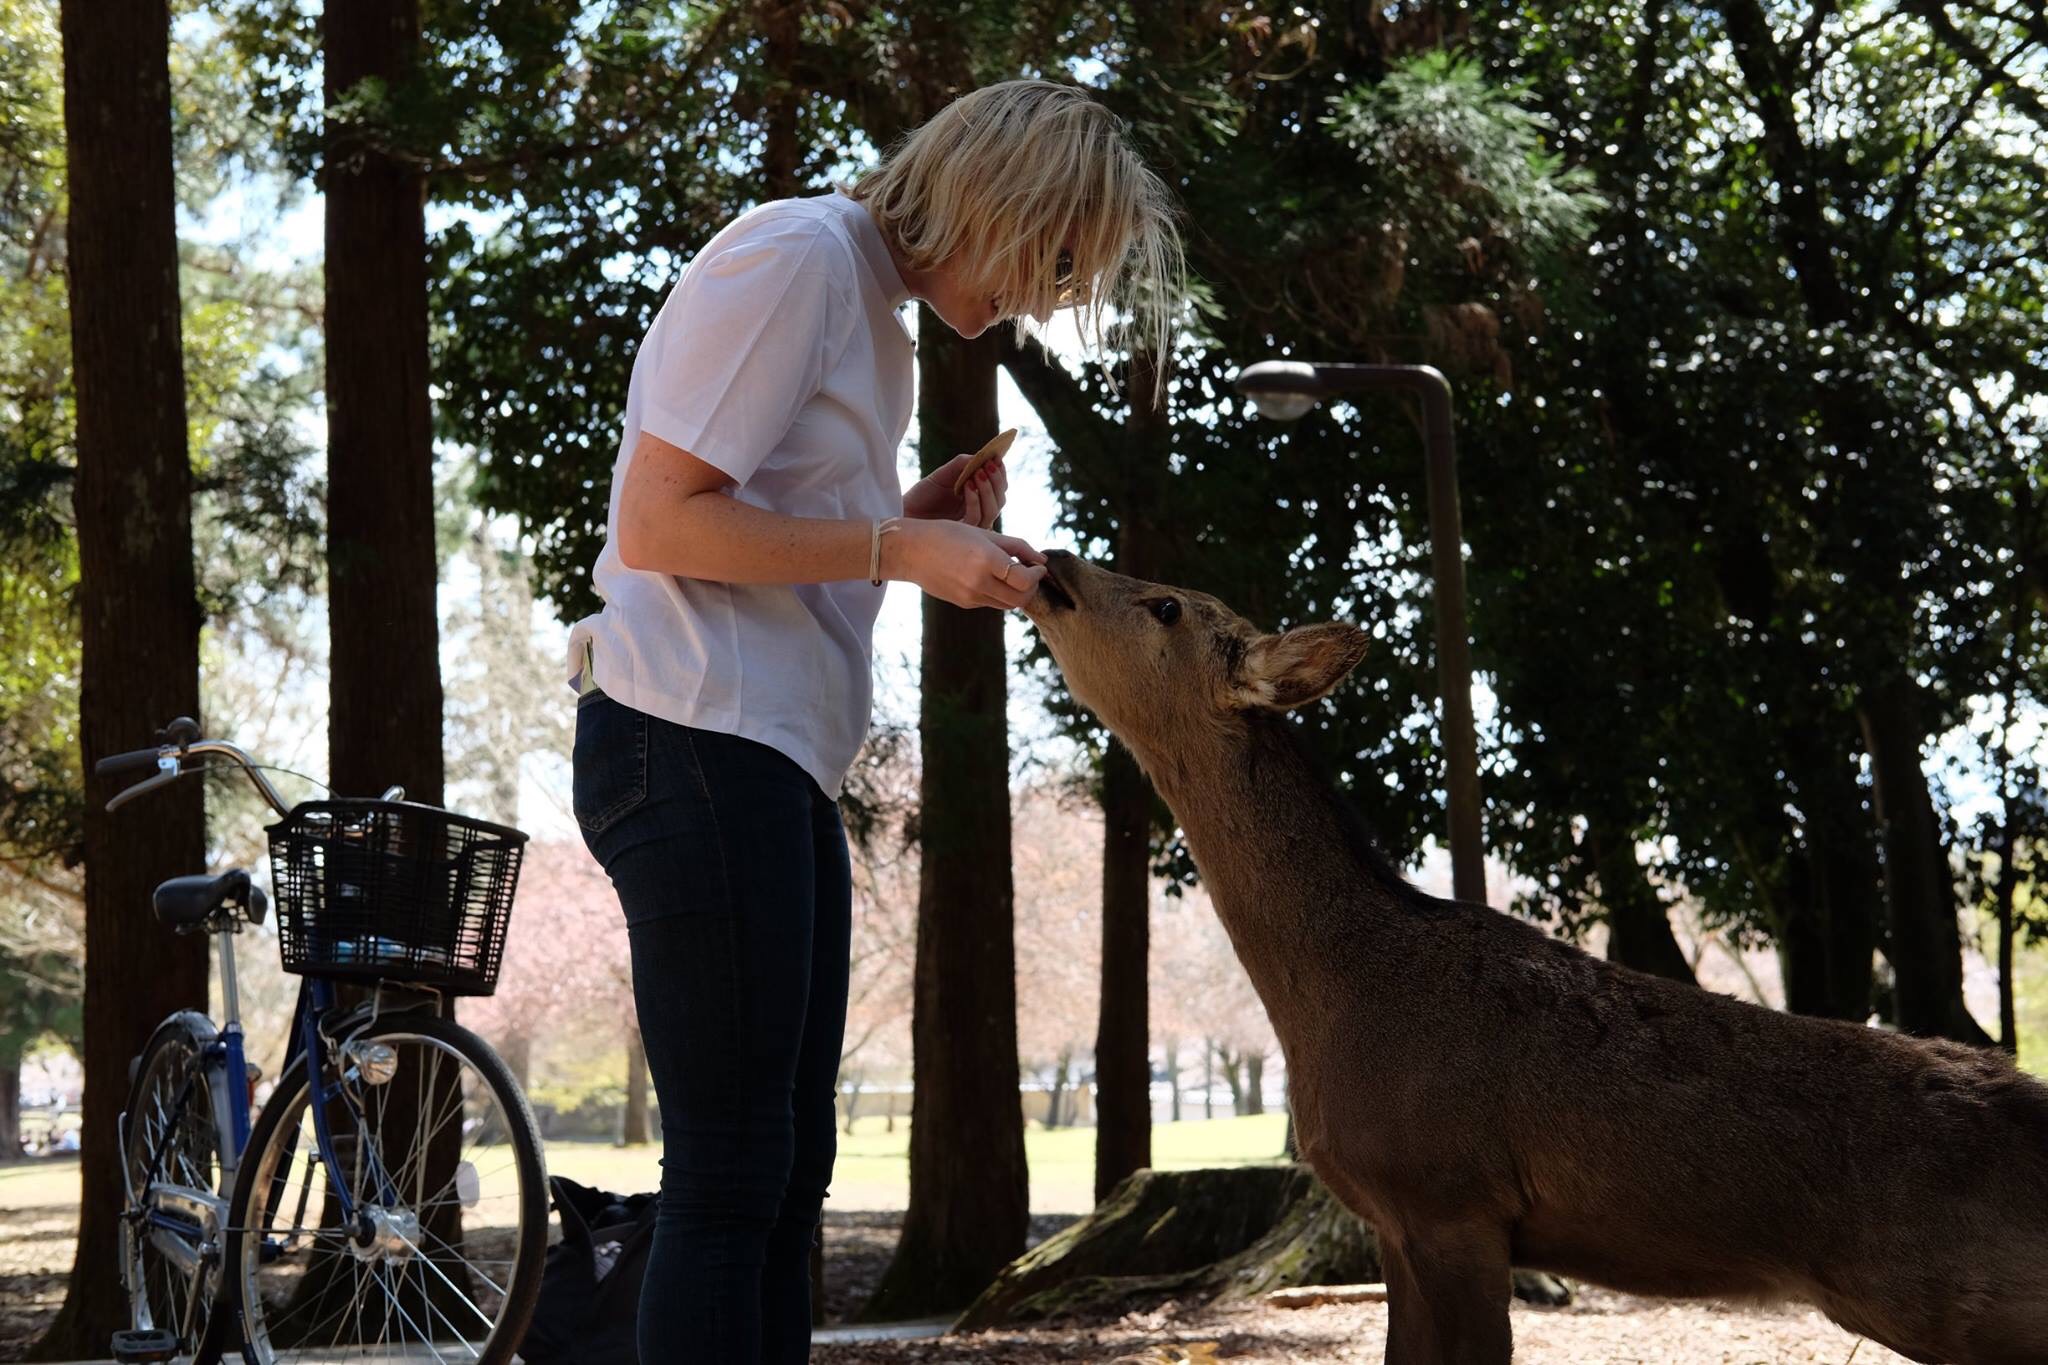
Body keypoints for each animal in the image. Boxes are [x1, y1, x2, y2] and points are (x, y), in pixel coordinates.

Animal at [1032, 548, 2048, 1365]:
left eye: (1166, 604)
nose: (1055, 561)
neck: (1337, 1001)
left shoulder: (1452, 1195)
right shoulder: (1396, 1221)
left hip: (1966, 1296)